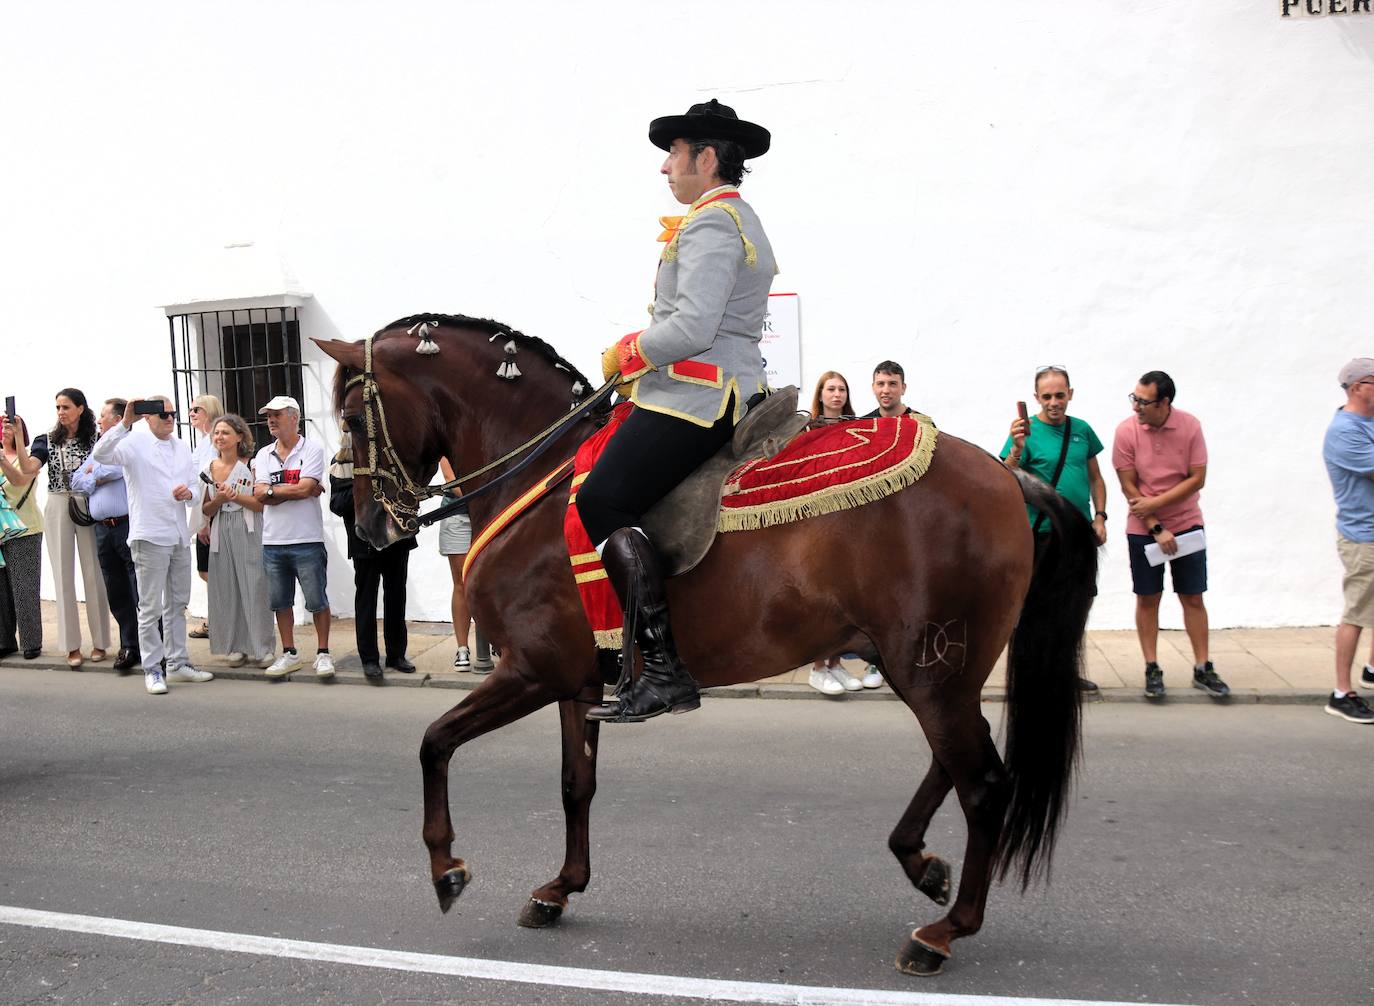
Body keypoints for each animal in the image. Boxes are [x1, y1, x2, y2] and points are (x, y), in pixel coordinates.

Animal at [316, 316, 1099, 973]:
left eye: (353, 418)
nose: (366, 526)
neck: (541, 478)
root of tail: (1008, 474)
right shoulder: (578, 680)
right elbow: (575, 783)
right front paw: (560, 888)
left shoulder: (529, 670)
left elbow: (434, 743)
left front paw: (446, 867)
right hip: (934, 671)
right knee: (957, 764)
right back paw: (921, 864)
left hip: (930, 669)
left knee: (983, 782)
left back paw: (944, 932)